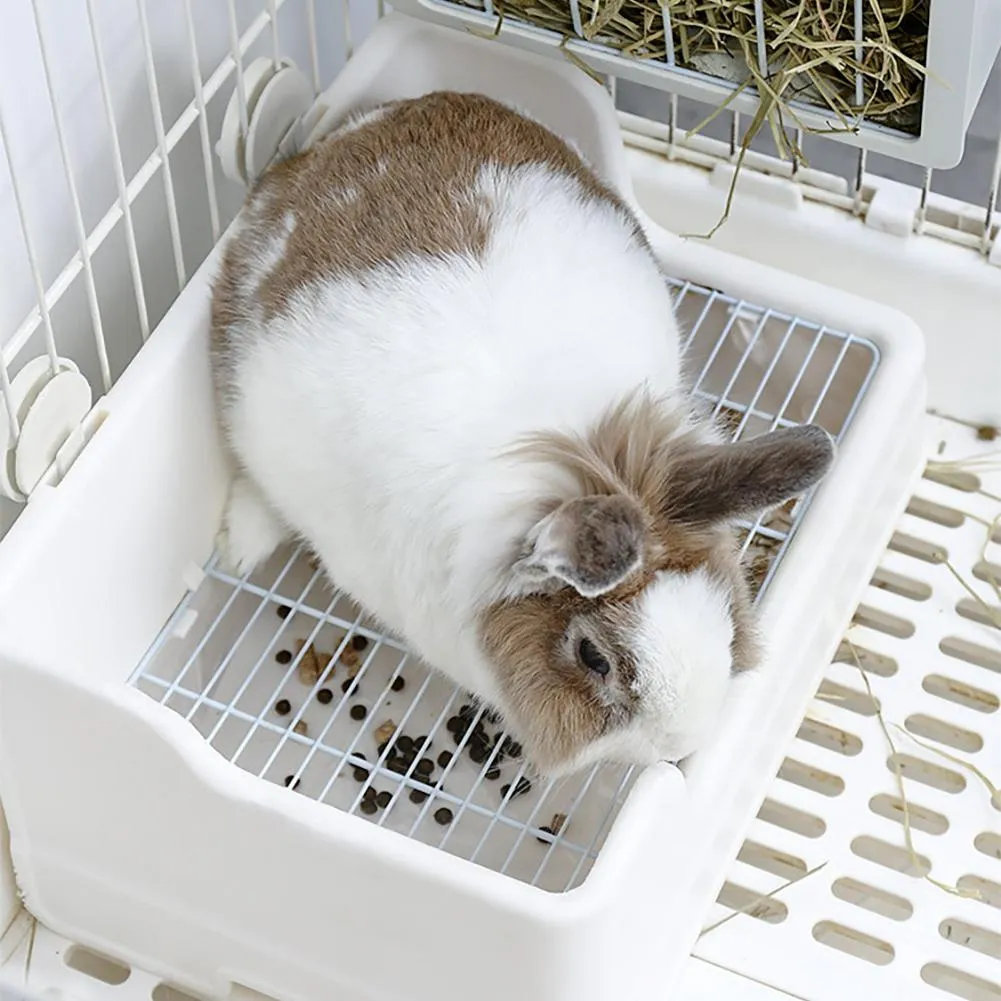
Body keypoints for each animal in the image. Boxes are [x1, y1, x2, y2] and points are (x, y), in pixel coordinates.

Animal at [210, 91, 835, 778]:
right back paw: (240, 545)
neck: (564, 454)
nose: (681, 744)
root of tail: (356, 128)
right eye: (594, 658)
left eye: (722, 611)